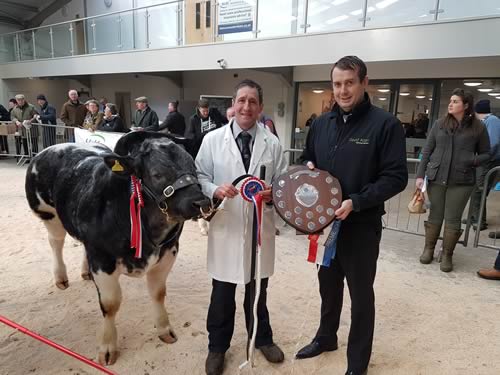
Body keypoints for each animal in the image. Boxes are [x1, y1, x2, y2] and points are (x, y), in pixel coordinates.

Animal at [24, 131, 211, 364]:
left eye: (193, 166)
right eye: (157, 174)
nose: (201, 202)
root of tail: (54, 147)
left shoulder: (169, 251)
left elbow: (158, 293)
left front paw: (164, 329)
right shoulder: (102, 259)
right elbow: (110, 304)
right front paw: (107, 347)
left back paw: (84, 272)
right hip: (48, 214)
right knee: (55, 242)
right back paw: (60, 278)